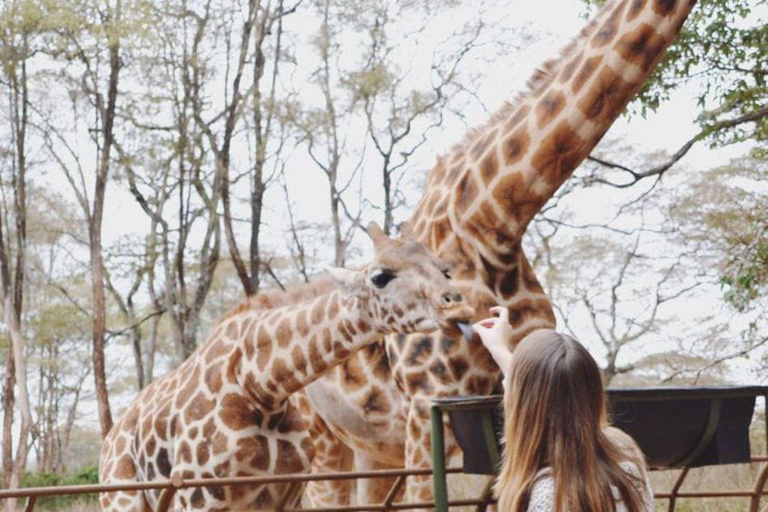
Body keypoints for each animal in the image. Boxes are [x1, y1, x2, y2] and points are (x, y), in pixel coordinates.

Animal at [98, 222, 475, 512]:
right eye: (380, 277)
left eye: (444, 269)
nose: (458, 306)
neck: (262, 385)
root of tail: (109, 442)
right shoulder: (199, 496)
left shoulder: (284, 494)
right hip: (122, 497)